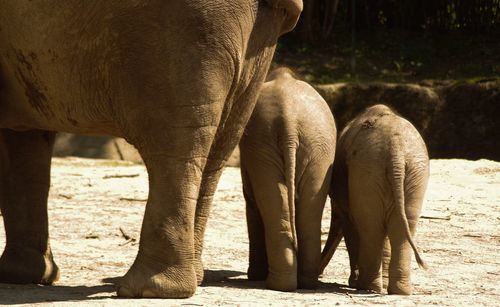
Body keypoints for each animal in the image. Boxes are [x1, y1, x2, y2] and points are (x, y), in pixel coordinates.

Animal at [0, 0, 302, 298]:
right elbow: (24, 142)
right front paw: (23, 275)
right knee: (219, 147)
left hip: (180, 27)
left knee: (175, 145)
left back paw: (147, 289)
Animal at [240, 67, 338, 294]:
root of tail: (290, 122)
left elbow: (251, 203)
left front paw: (253, 276)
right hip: (317, 147)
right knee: (308, 215)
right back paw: (303, 283)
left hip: (265, 145)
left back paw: (279, 284)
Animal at [320, 104, 430, 296]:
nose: (319, 275)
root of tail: (396, 151)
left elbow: (351, 223)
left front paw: (355, 282)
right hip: (407, 172)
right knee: (399, 225)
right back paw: (395, 290)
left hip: (375, 170)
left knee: (372, 225)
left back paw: (368, 286)